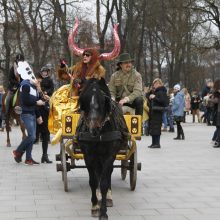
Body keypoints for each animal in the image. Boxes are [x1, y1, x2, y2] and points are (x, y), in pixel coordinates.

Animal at [77, 78, 130, 219]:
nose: (93, 127)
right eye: (85, 100)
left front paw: (103, 212)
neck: (99, 134)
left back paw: (108, 198)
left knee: (107, 173)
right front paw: (95, 206)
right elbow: (93, 181)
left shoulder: (109, 155)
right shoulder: (88, 156)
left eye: (102, 101)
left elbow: (104, 182)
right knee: (98, 174)